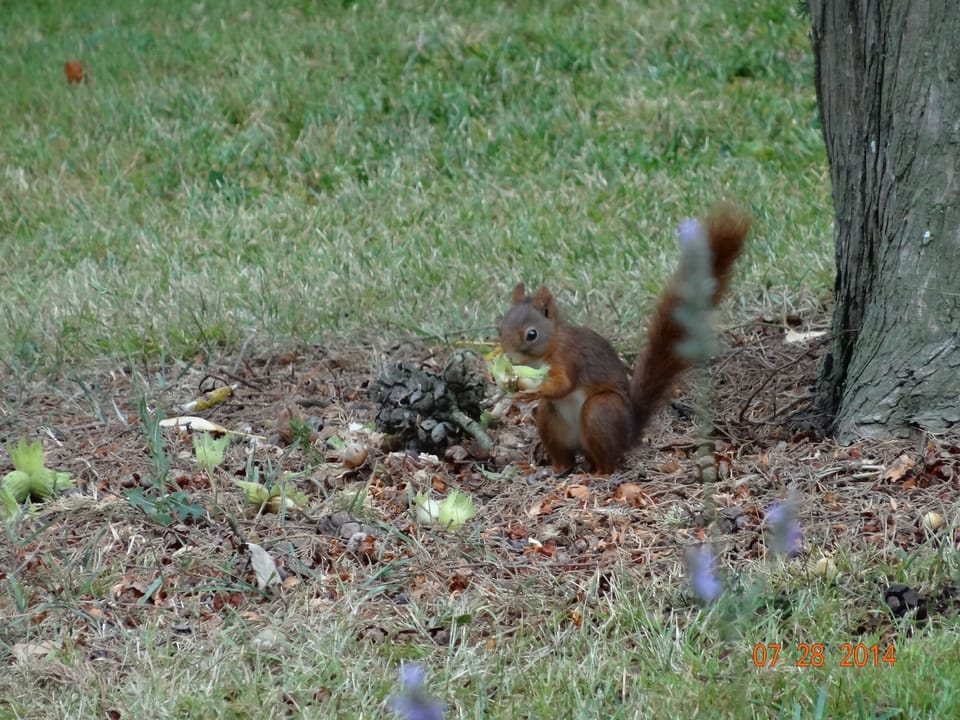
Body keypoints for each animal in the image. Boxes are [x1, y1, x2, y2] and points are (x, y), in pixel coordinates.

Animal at [498, 203, 751, 474]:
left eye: (531, 334)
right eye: (500, 328)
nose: (510, 358)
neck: (549, 347)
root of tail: (627, 436)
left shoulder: (569, 358)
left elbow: (563, 385)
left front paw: (530, 391)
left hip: (600, 411)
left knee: (607, 460)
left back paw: (599, 474)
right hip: (551, 420)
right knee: (565, 456)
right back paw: (552, 469)